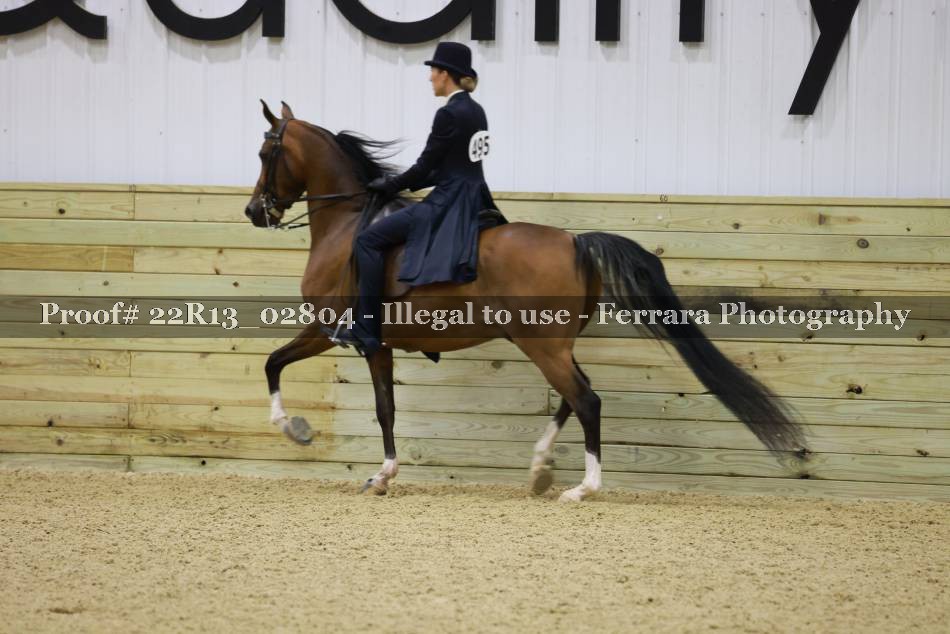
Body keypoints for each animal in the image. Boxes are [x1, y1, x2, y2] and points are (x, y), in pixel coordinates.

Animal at [243, 101, 807, 502]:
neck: (347, 224)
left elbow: (299, 374)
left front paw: (300, 433)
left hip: (542, 344)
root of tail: (575, 241)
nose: (254, 212)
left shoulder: (342, 333)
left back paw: (582, 488)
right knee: (572, 396)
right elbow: (368, 401)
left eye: (266, 154)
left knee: (586, 399)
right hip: (551, 342)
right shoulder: (370, 344)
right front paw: (371, 470)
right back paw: (539, 469)